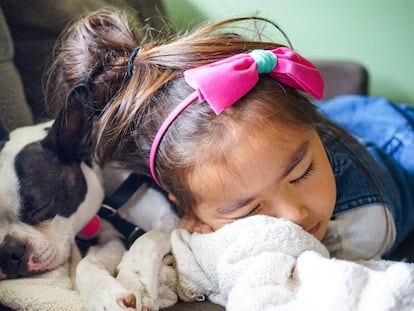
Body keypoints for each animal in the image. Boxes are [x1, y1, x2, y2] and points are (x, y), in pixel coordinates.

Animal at [0, 86, 178, 310]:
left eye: (40, 207)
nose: (7, 253)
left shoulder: (169, 218)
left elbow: (148, 239)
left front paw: (136, 280)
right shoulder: (109, 238)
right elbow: (85, 265)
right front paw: (103, 296)